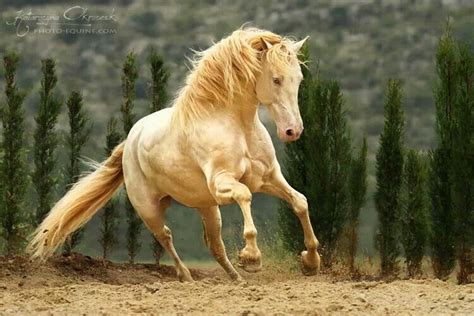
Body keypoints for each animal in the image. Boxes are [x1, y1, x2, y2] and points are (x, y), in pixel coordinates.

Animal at [26, 28, 322, 282]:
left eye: (299, 79)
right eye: (276, 79)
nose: (293, 131)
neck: (237, 125)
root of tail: (130, 140)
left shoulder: (268, 178)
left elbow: (300, 201)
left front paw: (310, 262)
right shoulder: (222, 183)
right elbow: (245, 196)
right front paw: (251, 258)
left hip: (206, 206)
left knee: (214, 244)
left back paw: (236, 279)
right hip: (150, 209)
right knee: (166, 237)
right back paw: (187, 277)